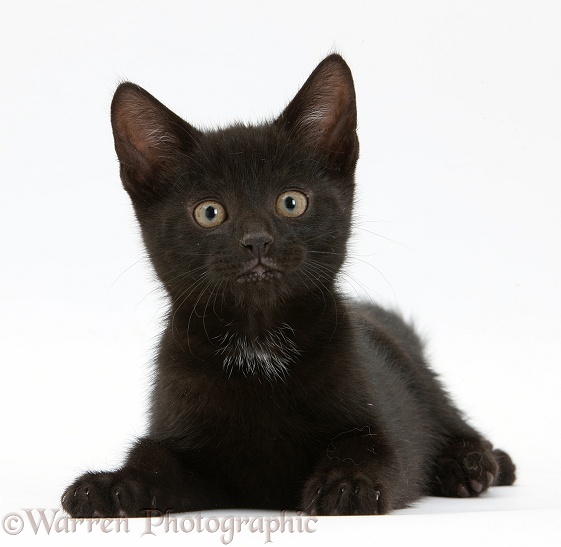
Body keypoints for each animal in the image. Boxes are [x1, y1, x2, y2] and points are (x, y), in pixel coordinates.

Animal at [61, 53, 512, 516]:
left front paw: (345, 484)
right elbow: (151, 457)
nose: (257, 240)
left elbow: (368, 449)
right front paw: (111, 485)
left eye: (291, 202)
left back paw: (471, 463)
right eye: (209, 212)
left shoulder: (383, 428)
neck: (258, 342)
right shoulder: (187, 447)